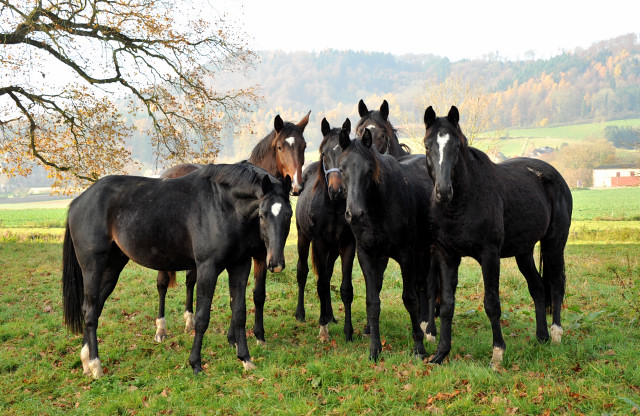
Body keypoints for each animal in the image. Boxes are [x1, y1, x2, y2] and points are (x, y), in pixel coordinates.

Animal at [62, 162, 292, 376]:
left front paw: (245, 358)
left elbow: (239, 313)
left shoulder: (240, 266)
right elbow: (201, 317)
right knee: (90, 310)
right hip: (92, 267)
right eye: (263, 214)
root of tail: (78, 201)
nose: (275, 264)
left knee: (94, 307)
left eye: (289, 214)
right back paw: (95, 365)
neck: (222, 205)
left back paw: (86, 360)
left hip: (113, 266)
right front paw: (196, 363)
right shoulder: (207, 267)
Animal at [152, 113, 308, 344]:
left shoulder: (261, 255)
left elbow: (257, 294)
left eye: (303, 146)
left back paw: (189, 320)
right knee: (162, 283)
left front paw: (257, 335)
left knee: (190, 280)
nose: (297, 185)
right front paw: (234, 336)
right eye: (280, 147)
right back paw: (161, 329)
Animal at [294, 118, 358, 342]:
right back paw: (301, 313)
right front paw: (322, 329)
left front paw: (348, 331)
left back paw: (331, 315)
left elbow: (345, 288)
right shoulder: (319, 243)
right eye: (324, 154)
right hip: (303, 238)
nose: (336, 190)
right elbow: (321, 284)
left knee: (328, 273)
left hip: (334, 249)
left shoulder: (348, 245)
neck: (334, 207)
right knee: (302, 271)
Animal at [338, 128, 432, 360]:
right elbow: (372, 302)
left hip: (425, 249)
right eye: (342, 168)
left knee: (425, 286)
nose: (354, 214)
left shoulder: (406, 255)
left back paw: (429, 329)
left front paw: (419, 347)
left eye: (369, 169)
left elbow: (410, 299)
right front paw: (374, 348)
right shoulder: (367, 255)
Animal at [422, 106, 572, 368]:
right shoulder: (447, 256)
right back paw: (541, 337)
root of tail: (556, 177)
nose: (443, 191)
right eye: (428, 145)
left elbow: (492, 304)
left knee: (556, 285)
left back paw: (555, 335)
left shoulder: (489, 256)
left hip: (554, 245)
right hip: (524, 252)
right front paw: (441, 353)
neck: (461, 204)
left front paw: (497, 354)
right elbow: (448, 304)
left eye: (457, 146)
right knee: (538, 287)